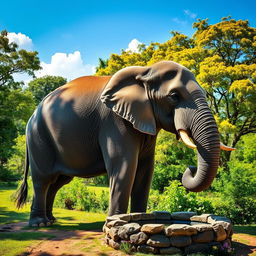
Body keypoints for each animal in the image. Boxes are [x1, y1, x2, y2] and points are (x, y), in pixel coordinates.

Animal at [15, 60, 233, 226]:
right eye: (174, 96)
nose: (189, 168)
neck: (145, 71)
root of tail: (31, 116)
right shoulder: (114, 123)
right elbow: (124, 166)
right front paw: (116, 221)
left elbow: (146, 171)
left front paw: (141, 218)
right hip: (38, 137)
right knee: (43, 179)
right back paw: (40, 224)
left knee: (58, 182)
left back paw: (51, 220)